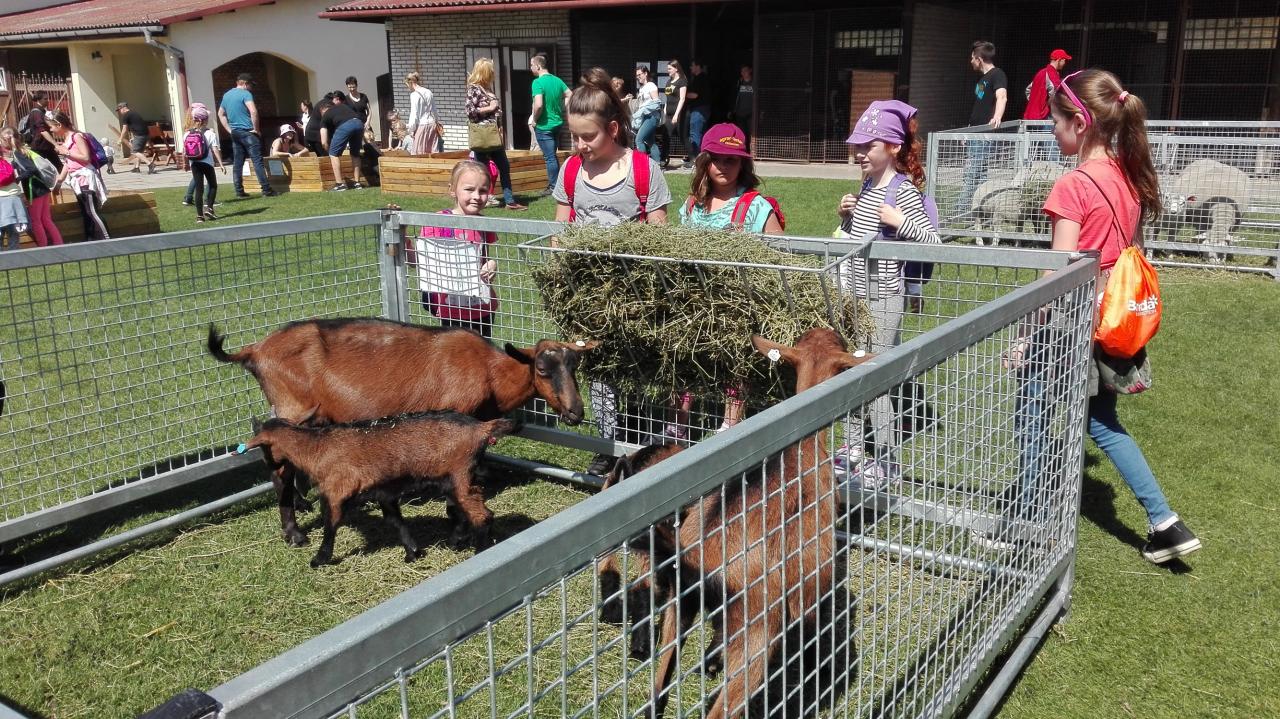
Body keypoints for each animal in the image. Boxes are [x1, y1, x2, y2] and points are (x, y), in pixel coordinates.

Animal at [208, 318, 597, 546]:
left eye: (576, 366)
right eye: (543, 369)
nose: (576, 412)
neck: (490, 373)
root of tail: (254, 350)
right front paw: (457, 525)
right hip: (292, 409)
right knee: (280, 467)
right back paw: (293, 532)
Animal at [244, 410, 519, 567]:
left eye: (262, 447)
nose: (270, 466)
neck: (316, 449)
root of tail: (481, 428)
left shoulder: (336, 491)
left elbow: (330, 525)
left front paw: (319, 559)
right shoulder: (384, 493)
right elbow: (395, 522)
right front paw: (413, 553)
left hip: (459, 474)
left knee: (482, 515)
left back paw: (480, 550)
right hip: (455, 479)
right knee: (464, 511)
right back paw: (455, 541)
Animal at [615, 329, 871, 719]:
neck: (803, 445)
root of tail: (695, 561)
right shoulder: (814, 576)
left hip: (680, 605)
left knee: (659, 685)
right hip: (757, 632)